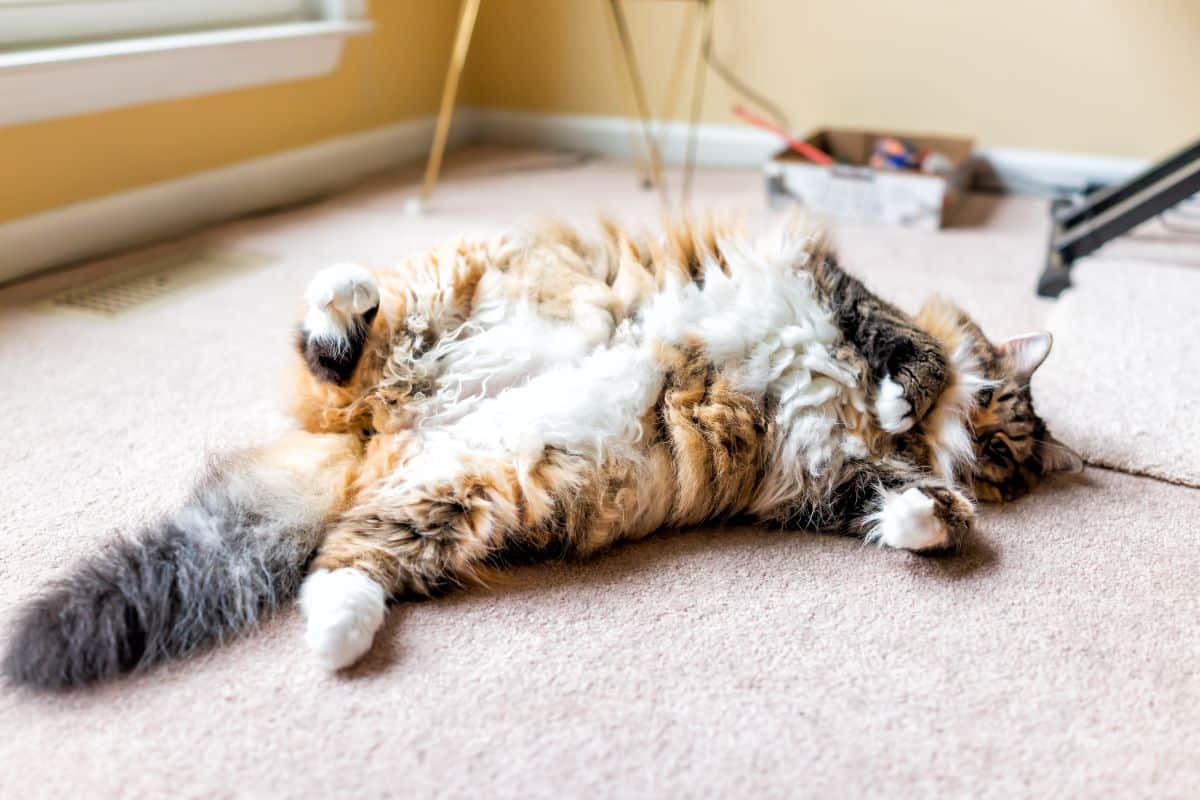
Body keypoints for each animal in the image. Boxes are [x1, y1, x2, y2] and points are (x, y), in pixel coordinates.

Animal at [4, 214, 1084, 690]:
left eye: (1004, 460)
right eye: (995, 411)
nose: (977, 453)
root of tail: (377, 441)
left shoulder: (813, 479)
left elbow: (900, 508)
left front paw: (936, 509)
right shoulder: (838, 292)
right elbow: (902, 343)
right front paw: (908, 394)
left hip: (471, 489)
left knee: (342, 556)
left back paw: (338, 637)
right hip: (444, 306)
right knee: (333, 350)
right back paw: (344, 285)